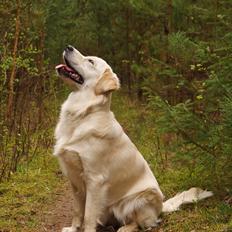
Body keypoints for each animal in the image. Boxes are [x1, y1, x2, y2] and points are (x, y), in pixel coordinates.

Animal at [54, 45, 212, 232]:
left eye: (90, 61)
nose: (68, 47)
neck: (83, 114)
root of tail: (161, 206)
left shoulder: (94, 179)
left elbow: (88, 215)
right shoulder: (74, 178)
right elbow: (78, 210)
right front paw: (73, 228)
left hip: (142, 198)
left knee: (143, 223)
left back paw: (126, 228)